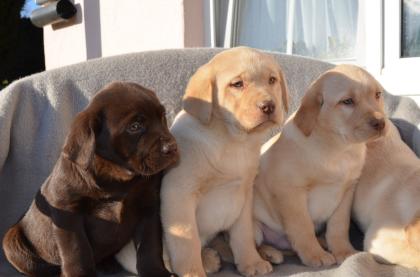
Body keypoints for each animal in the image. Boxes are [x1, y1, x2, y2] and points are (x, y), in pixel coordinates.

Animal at [2, 82, 179, 276]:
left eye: (162, 117)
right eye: (135, 126)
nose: (172, 147)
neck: (118, 178)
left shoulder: (148, 206)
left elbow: (149, 245)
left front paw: (155, 271)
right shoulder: (67, 212)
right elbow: (77, 250)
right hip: (11, 243)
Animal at [253, 63, 388, 266]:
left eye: (377, 95)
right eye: (347, 101)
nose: (381, 123)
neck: (339, 149)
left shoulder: (347, 192)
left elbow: (339, 226)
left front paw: (343, 250)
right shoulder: (290, 191)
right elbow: (303, 226)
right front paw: (314, 254)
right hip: (253, 227)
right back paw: (269, 254)